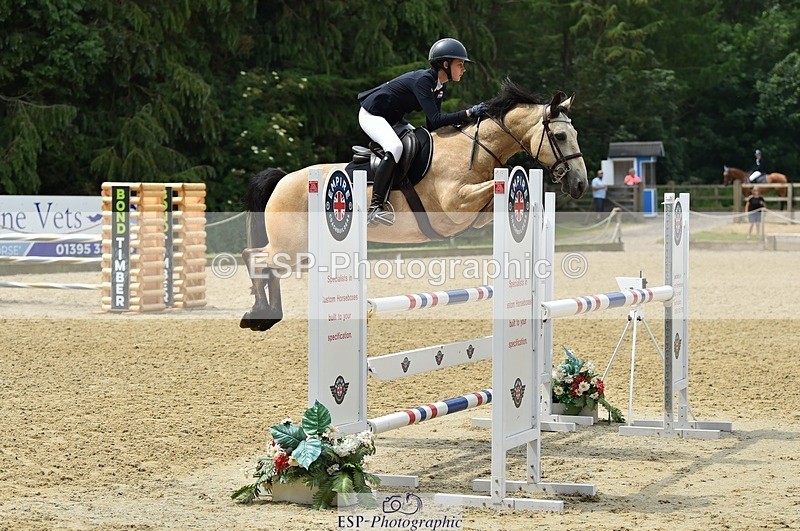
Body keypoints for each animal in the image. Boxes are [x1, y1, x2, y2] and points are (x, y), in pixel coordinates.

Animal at [240, 80, 588, 331]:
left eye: (574, 133)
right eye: (560, 135)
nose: (580, 184)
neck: (476, 149)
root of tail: (283, 180)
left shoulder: (473, 214)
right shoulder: (454, 205)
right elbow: (491, 189)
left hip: (301, 251)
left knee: (267, 265)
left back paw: (266, 316)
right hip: (292, 247)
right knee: (254, 257)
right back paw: (259, 314)